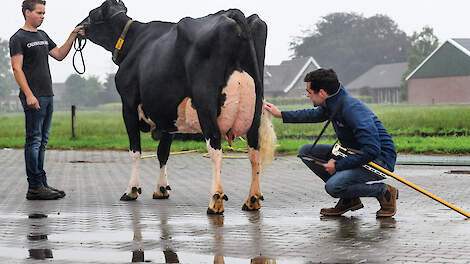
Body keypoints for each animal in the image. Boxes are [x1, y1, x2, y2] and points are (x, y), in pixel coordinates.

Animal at [76, 0, 276, 213]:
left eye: (92, 13)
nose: (78, 27)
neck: (134, 42)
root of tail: (232, 13)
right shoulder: (168, 113)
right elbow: (163, 152)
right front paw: (161, 189)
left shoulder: (128, 104)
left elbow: (135, 150)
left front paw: (131, 190)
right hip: (256, 107)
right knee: (254, 150)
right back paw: (252, 199)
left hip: (205, 103)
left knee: (215, 147)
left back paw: (215, 200)